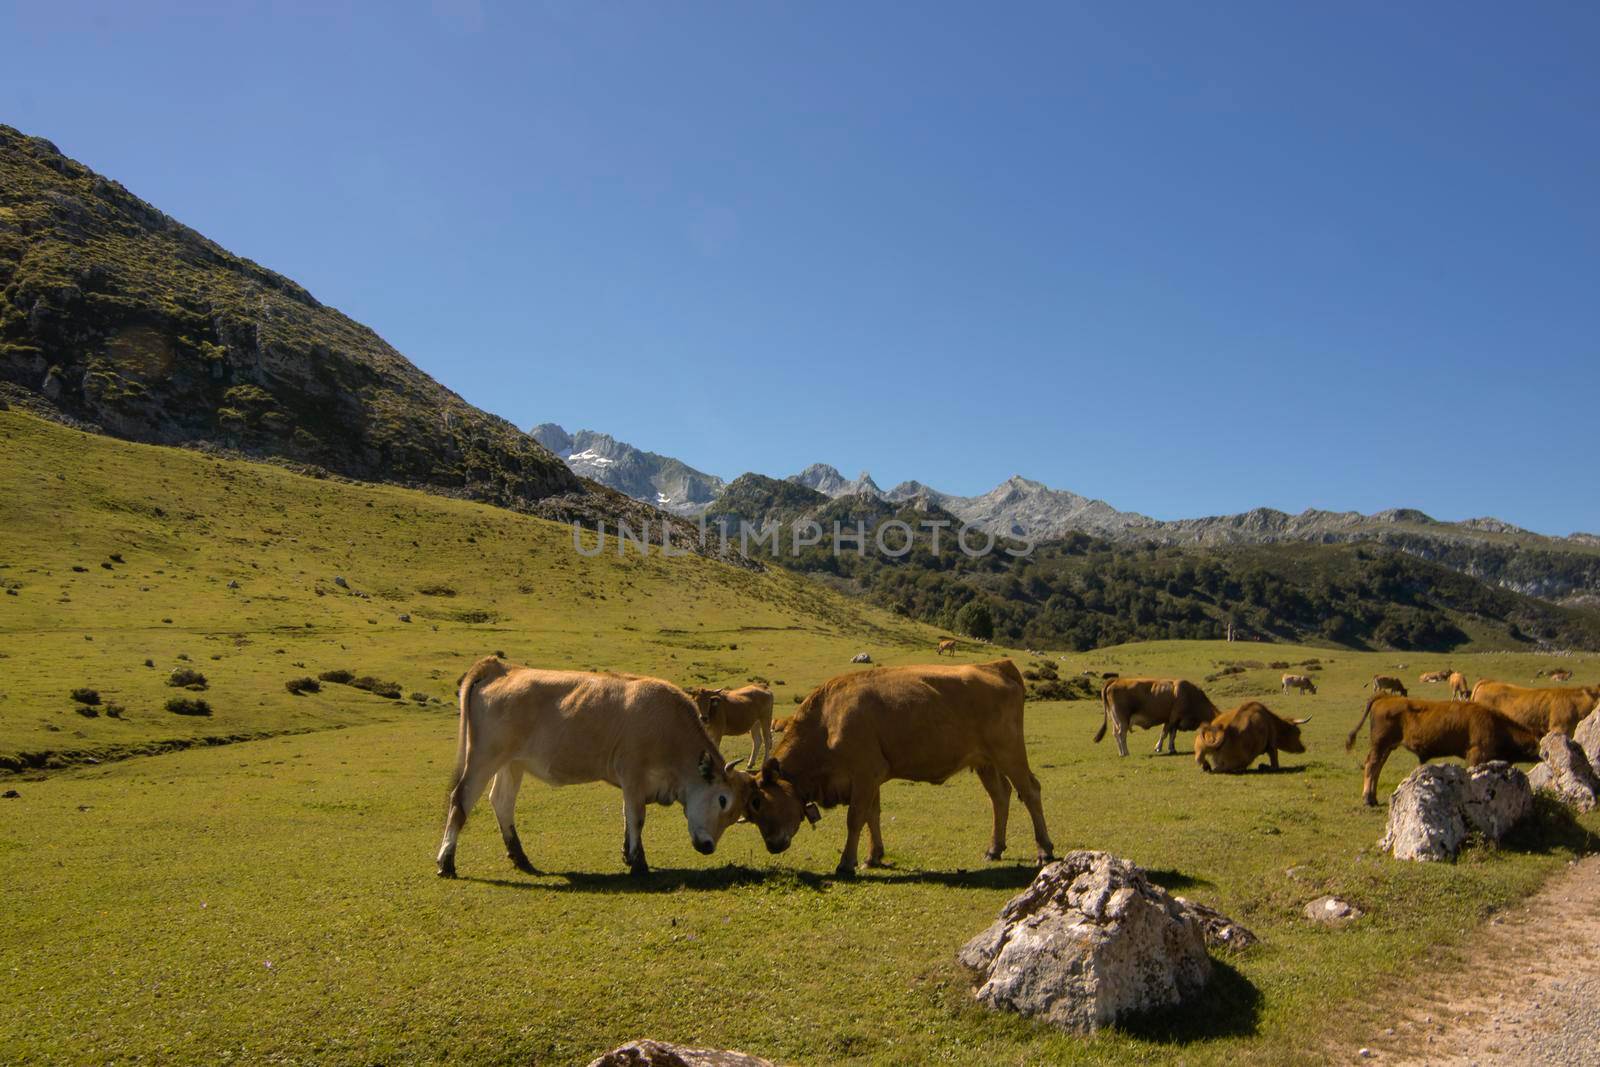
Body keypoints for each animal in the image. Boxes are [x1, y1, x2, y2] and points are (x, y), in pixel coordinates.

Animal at [435, 659, 752, 876]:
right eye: (722, 800)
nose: (709, 846)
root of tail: (502, 668)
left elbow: (626, 816)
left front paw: (628, 854)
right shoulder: (633, 774)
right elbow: (636, 817)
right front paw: (639, 864)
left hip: (512, 763)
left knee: (501, 803)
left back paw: (521, 857)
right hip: (484, 757)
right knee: (461, 800)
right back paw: (446, 862)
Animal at [742, 659, 1056, 876]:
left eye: (760, 803)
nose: (773, 846)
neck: (826, 723)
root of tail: (996, 666)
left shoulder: (864, 775)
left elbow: (855, 819)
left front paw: (846, 863)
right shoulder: (872, 778)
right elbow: (873, 816)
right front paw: (874, 856)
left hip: (1009, 752)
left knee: (1031, 791)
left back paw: (1044, 850)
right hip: (985, 761)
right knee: (1000, 796)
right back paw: (994, 849)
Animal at [1344, 697, 1542, 806]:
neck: (1496, 724)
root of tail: (1384, 698)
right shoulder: (1477, 754)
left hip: (1387, 747)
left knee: (1377, 767)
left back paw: (1373, 798)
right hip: (1380, 744)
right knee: (1372, 765)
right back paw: (1367, 799)